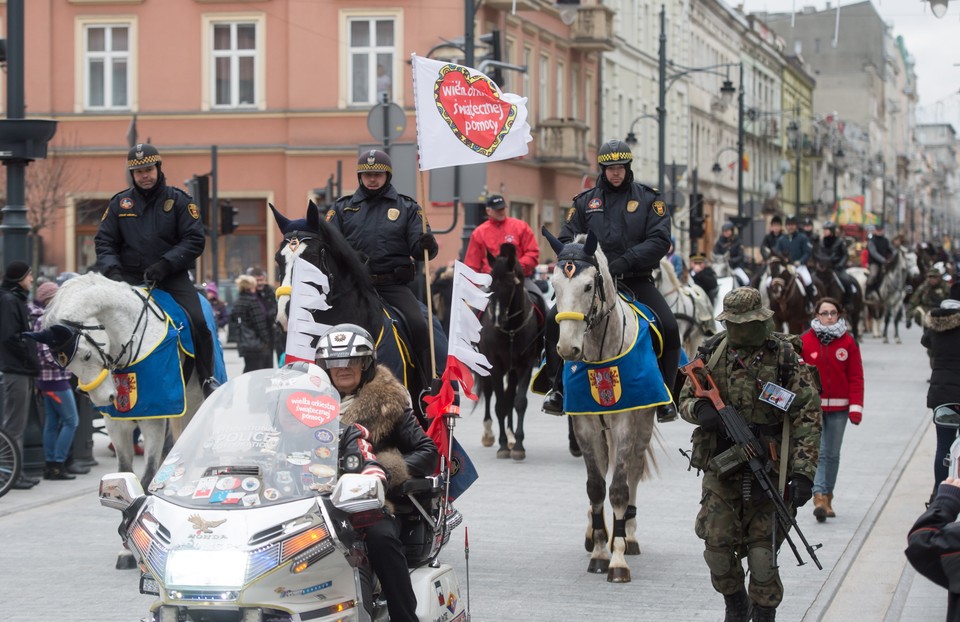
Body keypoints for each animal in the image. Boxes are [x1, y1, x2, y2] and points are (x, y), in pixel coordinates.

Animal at [37, 274, 204, 488]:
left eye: (87, 355)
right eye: (67, 367)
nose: (103, 398)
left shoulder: (154, 419)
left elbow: (148, 475)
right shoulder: (115, 422)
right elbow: (124, 472)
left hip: (193, 402)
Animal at [478, 246, 544, 460]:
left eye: (509, 285)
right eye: (490, 284)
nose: (497, 319)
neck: (511, 330)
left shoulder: (525, 364)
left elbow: (519, 402)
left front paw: (518, 445)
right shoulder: (495, 365)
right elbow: (499, 405)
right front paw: (502, 445)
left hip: (513, 369)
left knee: (509, 397)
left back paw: (511, 436)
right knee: (489, 393)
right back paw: (489, 433)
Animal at [544, 228, 656, 584]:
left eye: (588, 286)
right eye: (554, 285)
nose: (567, 348)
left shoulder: (624, 422)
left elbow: (619, 488)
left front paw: (617, 559)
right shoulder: (585, 424)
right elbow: (595, 487)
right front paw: (599, 551)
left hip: (642, 425)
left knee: (632, 471)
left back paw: (628, 534)